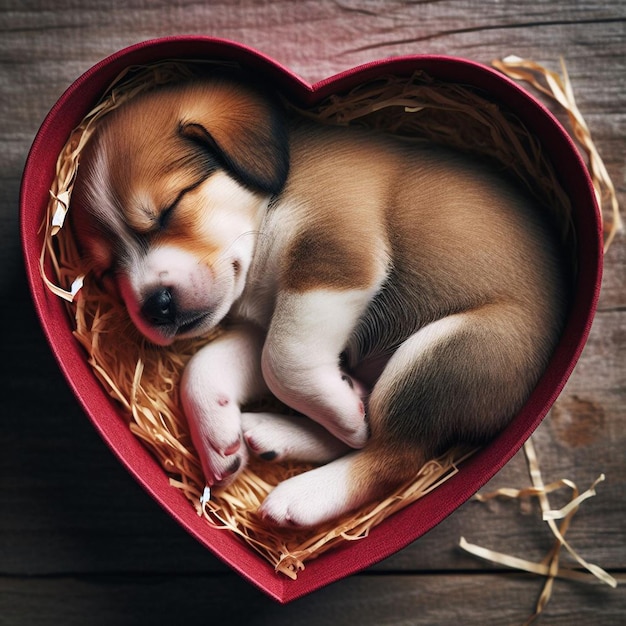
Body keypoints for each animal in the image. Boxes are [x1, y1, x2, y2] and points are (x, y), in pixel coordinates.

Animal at [70, 75, 568, 528]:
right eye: (106, 273)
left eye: (172, 204)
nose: (155, 306)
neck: (268, 212)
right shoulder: (271, 320)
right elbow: (208, 365)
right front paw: (216, 436)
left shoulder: (333, 256)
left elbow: (283, 362)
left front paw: (343, 415)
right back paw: (280, 429)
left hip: (445, 356)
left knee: (390, 457)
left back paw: (303, 495)